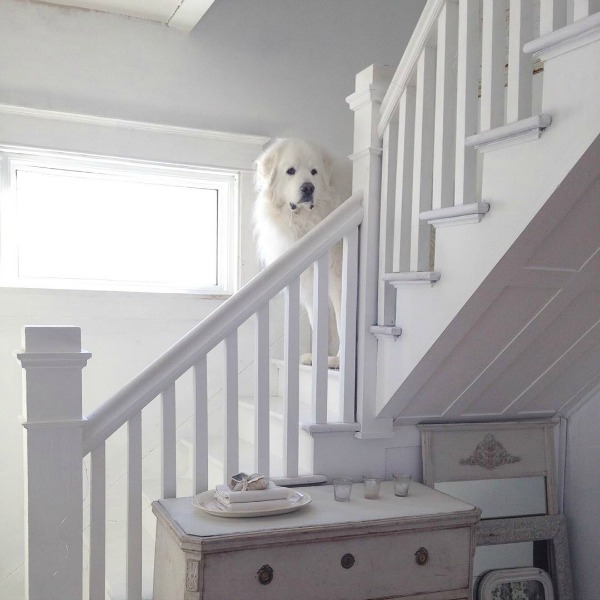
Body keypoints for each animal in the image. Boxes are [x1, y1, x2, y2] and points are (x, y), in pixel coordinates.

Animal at [254, 138, 346, 368]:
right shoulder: (312, 283)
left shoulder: (339, 282)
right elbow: (320, 325)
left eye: (314, 172)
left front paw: (338, 361)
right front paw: (318, 358)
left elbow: (343, 324)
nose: (308, 187)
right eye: (291, 171)